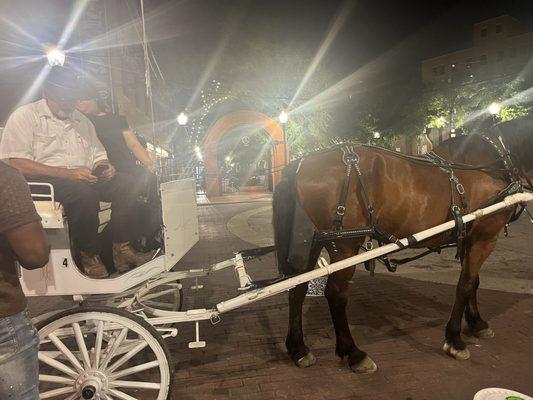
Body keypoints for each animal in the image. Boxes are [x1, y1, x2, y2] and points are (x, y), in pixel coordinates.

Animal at [272, 115, 528, 372]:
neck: (491, 162)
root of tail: (300, 163)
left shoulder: (471, 238)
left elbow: (473, 282)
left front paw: (477, 323)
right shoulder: (485, 238)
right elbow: (465, 285)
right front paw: (455, 339)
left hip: (311, 242)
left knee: (297, 288)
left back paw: (298, 348)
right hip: (344, 246)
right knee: (335, 294)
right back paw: (353, 352)